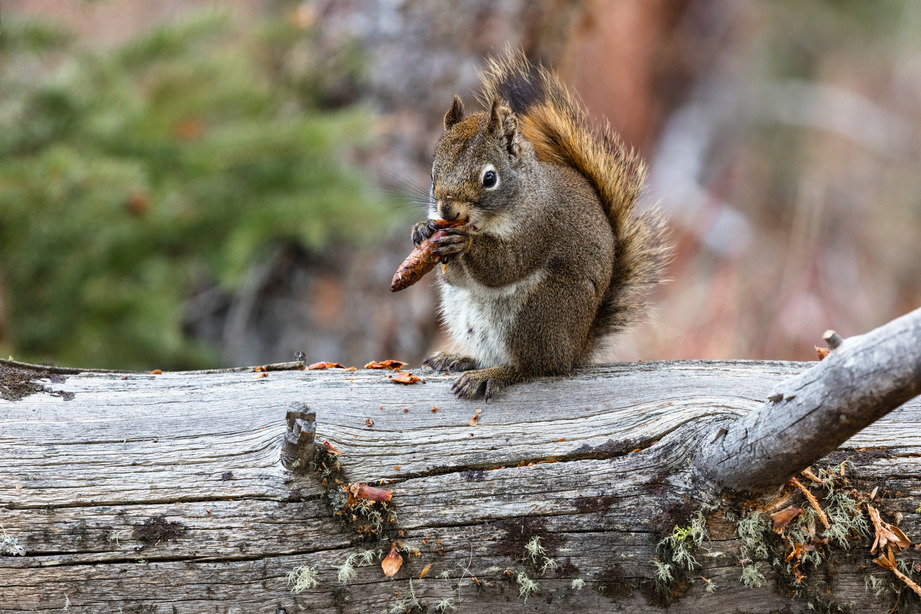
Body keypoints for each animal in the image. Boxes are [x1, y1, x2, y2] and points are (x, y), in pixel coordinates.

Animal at [411, 49, 670, 400]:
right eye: (433, 172)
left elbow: (505, 266)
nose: (447, 211)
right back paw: (460, 359)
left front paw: (463, 242)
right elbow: (455, 278)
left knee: (533, 367)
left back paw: (491, 374)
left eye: (489, 178)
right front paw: (423, 230)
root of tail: (572, 352)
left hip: (538, 313)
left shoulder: (540, 227)